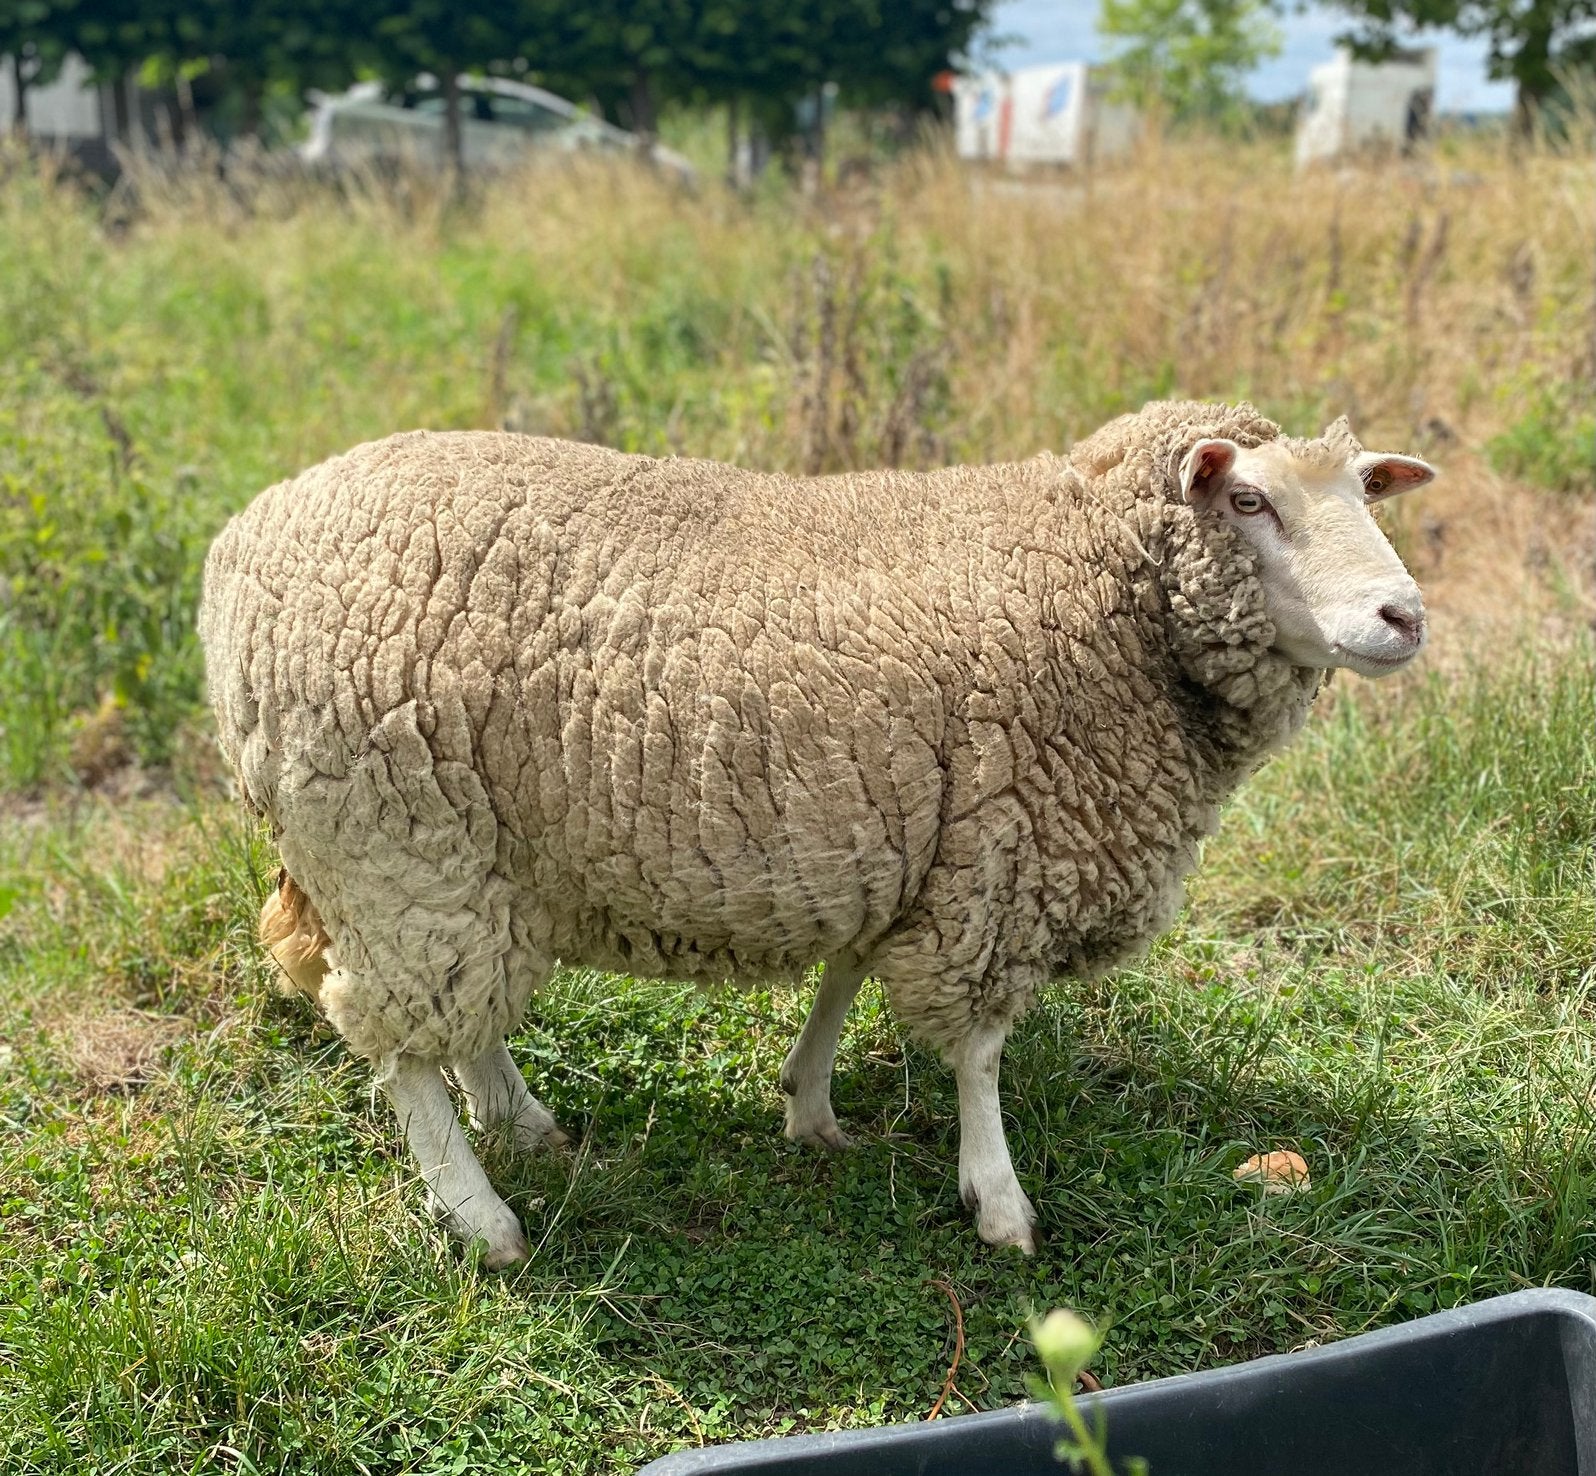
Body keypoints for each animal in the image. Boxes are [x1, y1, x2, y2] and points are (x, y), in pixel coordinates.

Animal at [199, 399, 1436, 1266]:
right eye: (1249, 504)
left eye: (1369, 497)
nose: (1405, 615)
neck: (1101, 588)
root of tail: (238, 548)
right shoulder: (1001, 857)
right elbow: (981, 1054)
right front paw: (998, 1199)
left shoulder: (900, 836)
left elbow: (848, 976)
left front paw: (809, 1102)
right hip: (398, 839)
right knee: (400, 1044)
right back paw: (480, 1212)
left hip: (470, 860)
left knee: (456, 1018)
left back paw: (519, 1119)